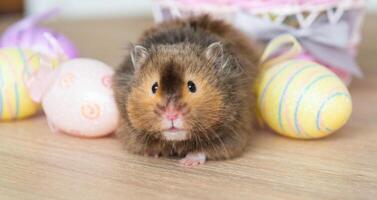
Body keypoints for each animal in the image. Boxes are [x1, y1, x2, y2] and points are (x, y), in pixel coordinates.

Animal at [113, 14, 260, 166]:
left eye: (192, 86)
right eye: (154, 87)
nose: (171, 114)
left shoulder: (232, 133)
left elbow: (202, 150)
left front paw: (187, 162)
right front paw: (151, 153)